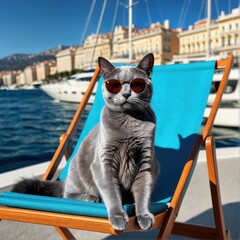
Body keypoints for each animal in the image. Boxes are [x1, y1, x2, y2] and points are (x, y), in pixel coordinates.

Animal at [12, 53, 159, 231]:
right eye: (114, 85)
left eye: (137, 84)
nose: (125, 94)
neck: (128, 123)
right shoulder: (103, 163)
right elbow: (111, 192)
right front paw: (117, 216)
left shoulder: (146, 161)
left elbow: (143, 191)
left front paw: (144, 215)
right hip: (78, 171)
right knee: (67, 195)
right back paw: (90, 197)